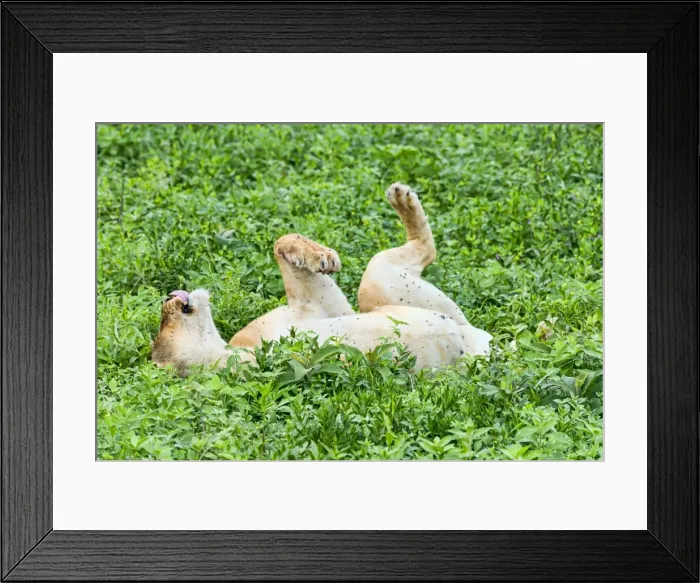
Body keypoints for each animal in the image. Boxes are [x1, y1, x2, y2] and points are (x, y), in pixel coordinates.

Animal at [151, 183, 492, 375]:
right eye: (161, 330)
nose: (168, 297)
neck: (231, 350)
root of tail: (482, 338)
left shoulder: (316, 308)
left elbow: (281, 241)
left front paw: (320, 256)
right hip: (375, 284)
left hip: (380, 285)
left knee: (426, 248)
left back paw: (402, 198)